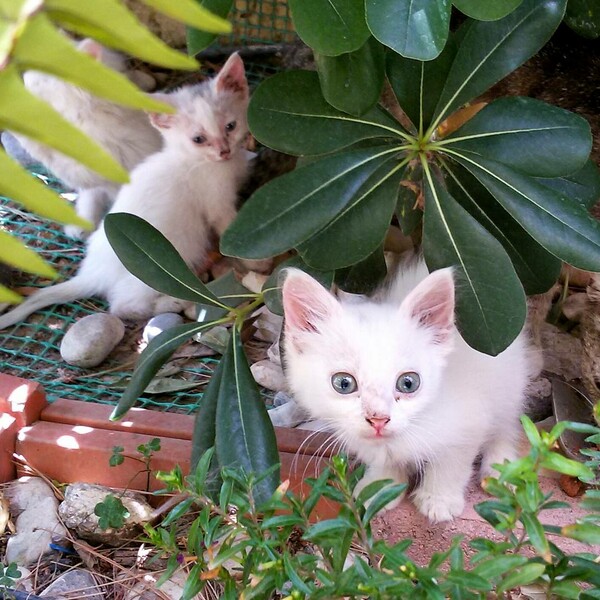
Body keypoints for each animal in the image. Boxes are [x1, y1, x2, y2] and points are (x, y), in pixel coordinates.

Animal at [282, 262, 540, 520]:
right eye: (344, 384)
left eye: (408, 383)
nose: (378, 419)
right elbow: (385, 462)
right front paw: (380, 488)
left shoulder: (470, 418)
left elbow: (452, 460)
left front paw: (439, 498)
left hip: (508, 381)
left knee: (506, 426)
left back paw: (502, 469)